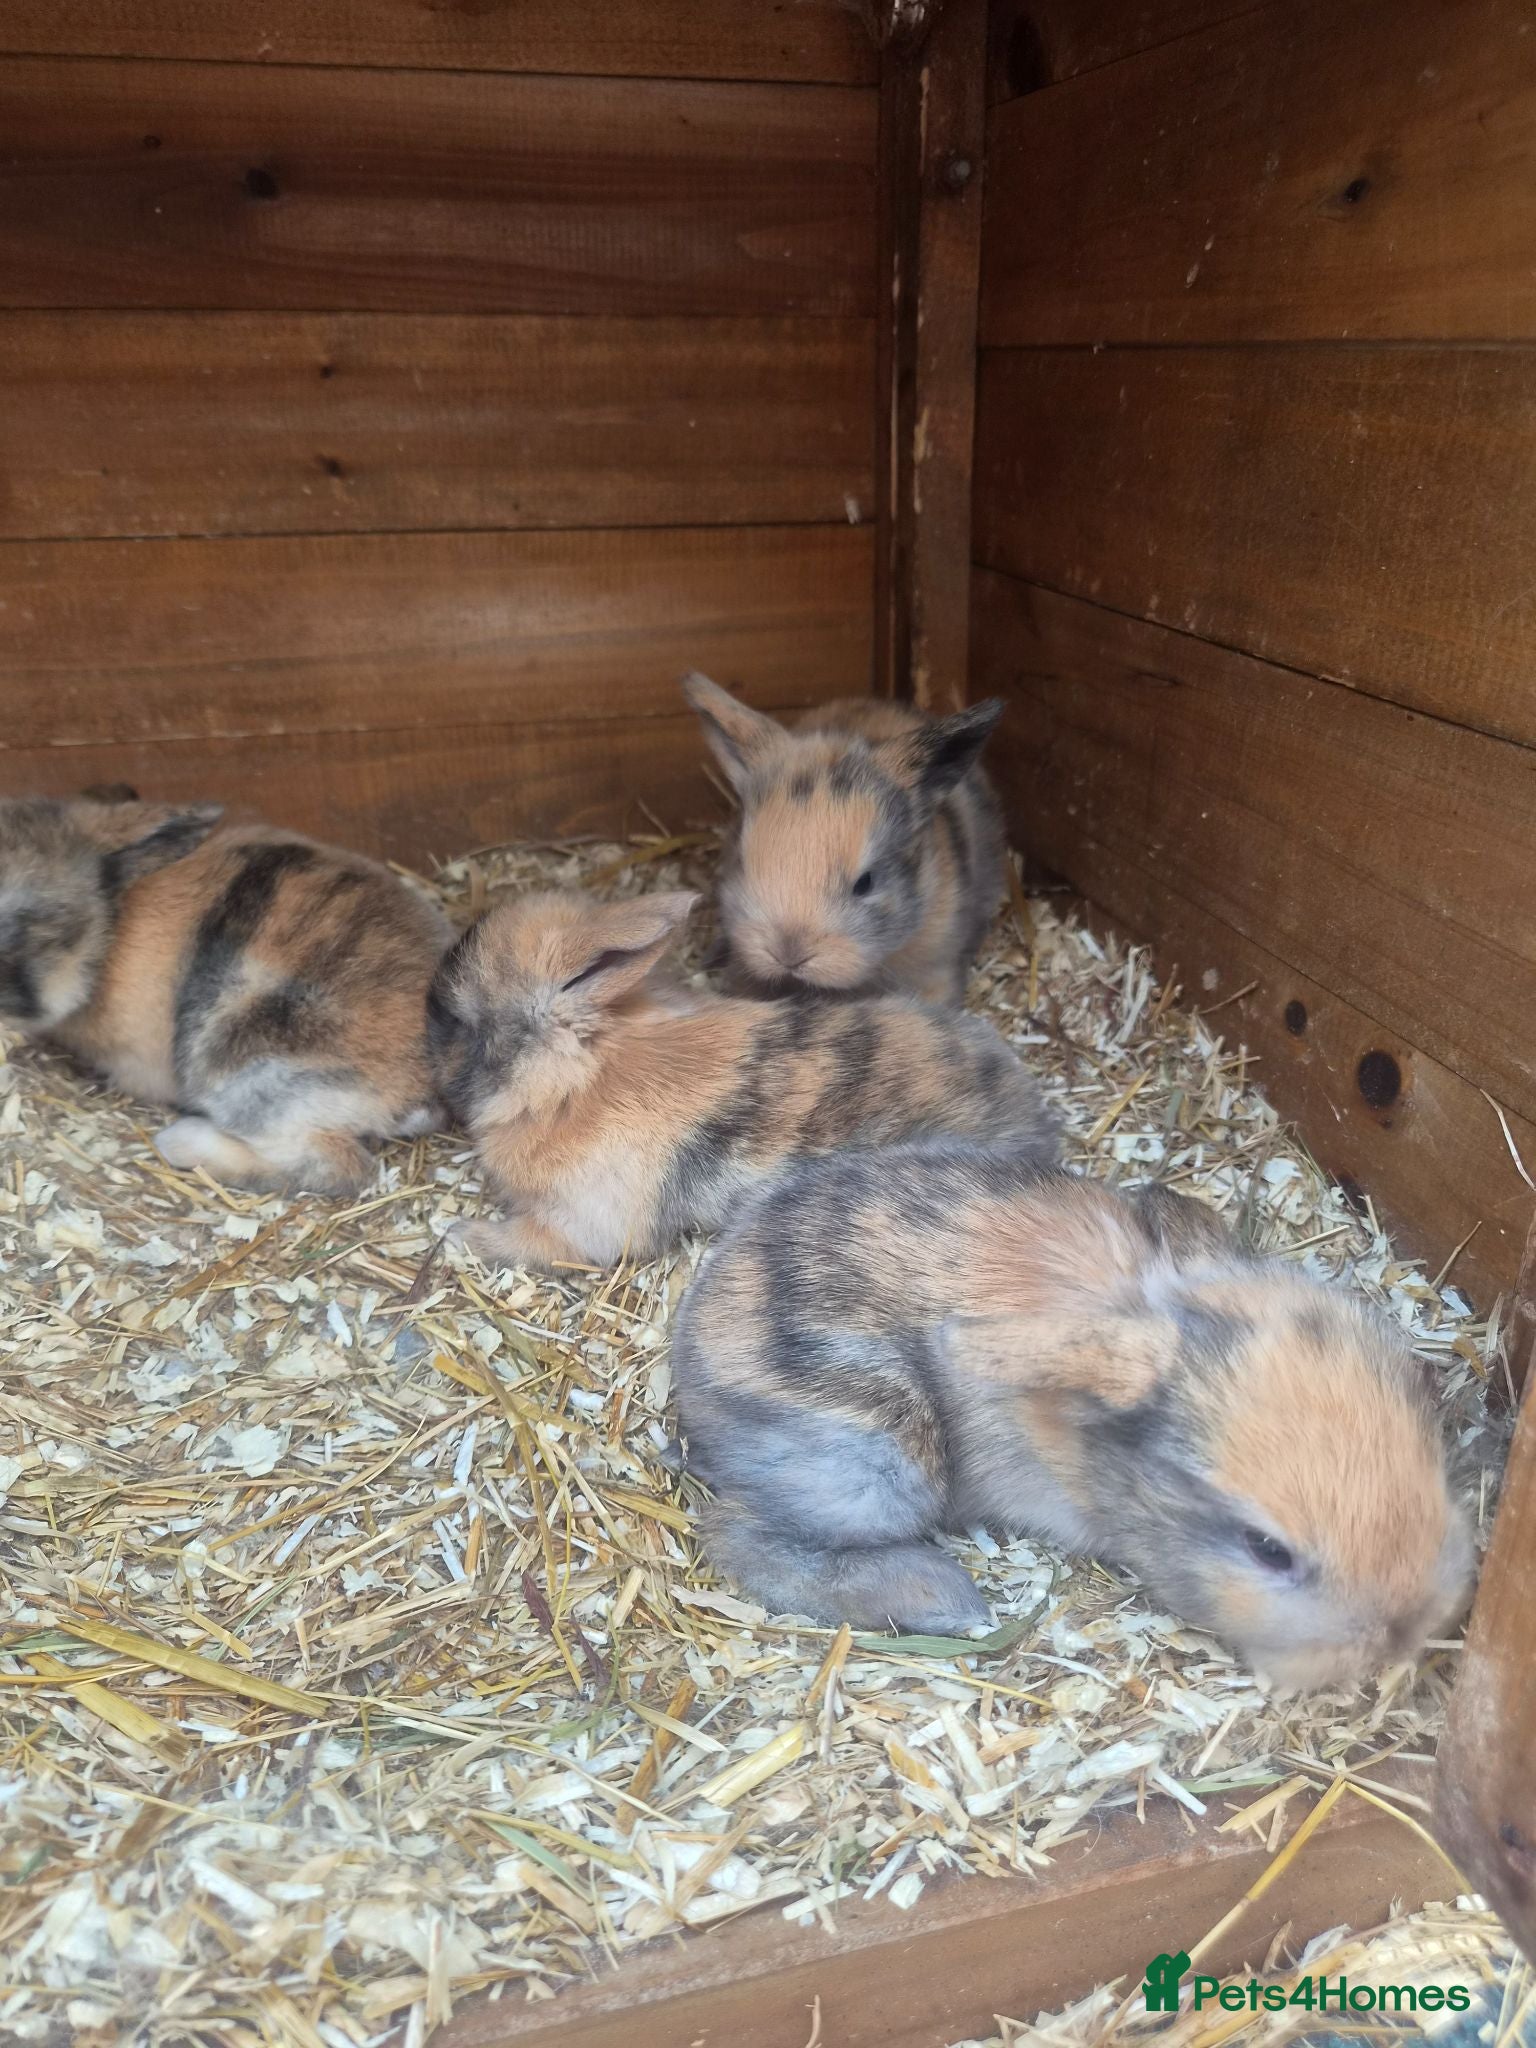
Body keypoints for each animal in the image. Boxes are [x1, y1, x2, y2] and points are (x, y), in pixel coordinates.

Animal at [427, 886, 1059, 1271]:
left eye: (457, 1020)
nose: (428, 1055)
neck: (578, 1076)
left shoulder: (582, 1224)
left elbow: (528, 1241)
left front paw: (460, 1235)